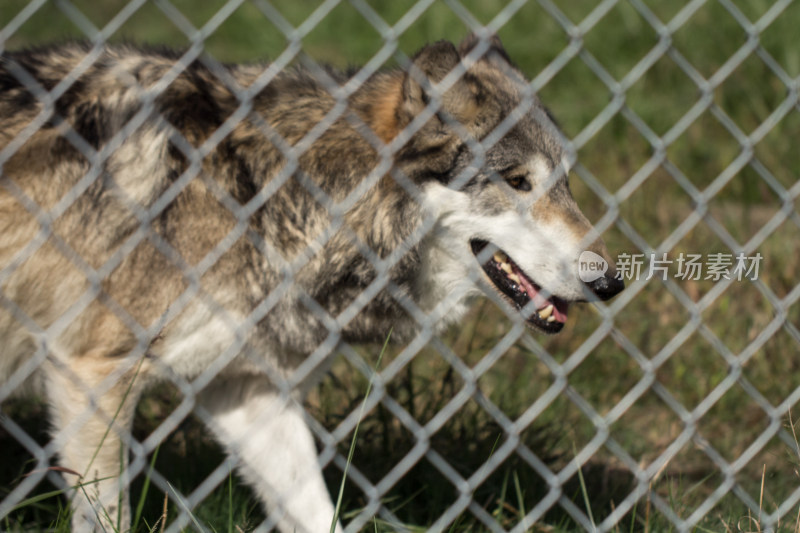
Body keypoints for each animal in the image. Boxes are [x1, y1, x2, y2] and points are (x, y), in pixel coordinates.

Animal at [0, 35, 624, 528]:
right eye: (517, 183)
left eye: (565, 185)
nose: (612, 283)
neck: (263, 196)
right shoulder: (91, 377)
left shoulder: (247, 389)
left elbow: (318, 513)